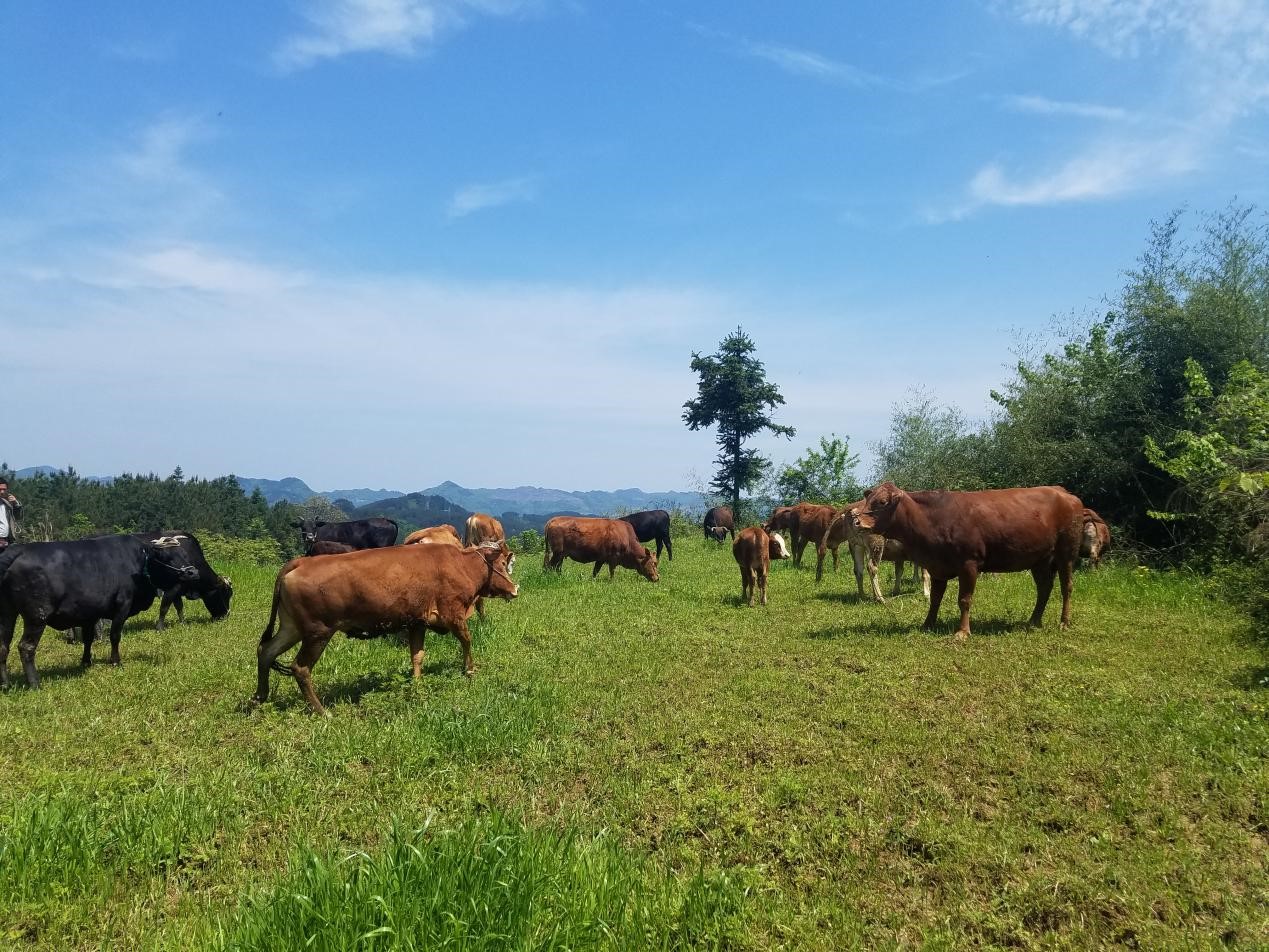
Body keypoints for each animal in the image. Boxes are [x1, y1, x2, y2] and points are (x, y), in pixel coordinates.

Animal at [0, 535, 198, 688]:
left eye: (184, 554)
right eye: (166, 557)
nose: (192, 572)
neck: (138, 561)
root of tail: (16, 551)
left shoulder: (90, 614)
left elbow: (88, 639)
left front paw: (86, 661)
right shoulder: (122, 606)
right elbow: (115, 636)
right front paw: (116, 661)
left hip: (7, 613)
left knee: (3, 646)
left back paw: (5, 684)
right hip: (36, 616)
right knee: (26, 647)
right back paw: (34, 682)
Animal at [254, 541, 519, 716]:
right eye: (503, 563)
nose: (515, 589)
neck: (461, 565)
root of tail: (299, 562)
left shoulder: (417, 622)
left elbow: (417, 655)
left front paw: (416, 684)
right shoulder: (453, 614)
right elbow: (467, 640)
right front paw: (469, 669)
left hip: (291, 627)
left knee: (266, 651)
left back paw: (259, 697)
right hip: (317, 632)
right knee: (300, 668)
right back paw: (322, 711)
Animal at [851, 482, 1084, 640]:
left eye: (882, 502)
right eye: (868, 499)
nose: (856, 521)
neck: (933, 519)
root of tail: (1063, 493)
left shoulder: (969, 564)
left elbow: (964, 600)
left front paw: (962, 632)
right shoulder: (937, 567)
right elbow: (935, 599)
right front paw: (927, 624)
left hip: (1066, 553)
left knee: (1066, 587)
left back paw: (1064, 622)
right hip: (1040, 560)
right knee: (1044, 589)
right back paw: (1033, 621)